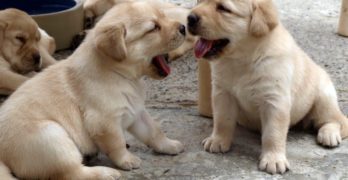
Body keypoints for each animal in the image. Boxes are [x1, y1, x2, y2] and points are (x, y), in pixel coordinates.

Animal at [0, 1, 186, 180]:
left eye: (163, 16)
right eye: (153, 28)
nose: (184, 28)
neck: (120, 75)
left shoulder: (136, 110)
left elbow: (154, 131)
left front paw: (169, 144)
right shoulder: (104, 121)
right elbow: (117, 143)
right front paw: (127, 160)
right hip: (52, 137)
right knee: (71, 173)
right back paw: (105, 173)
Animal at [188, 0, 348, 175]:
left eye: (223, 8)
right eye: (201, 2)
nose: (189, 18)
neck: (242, 60)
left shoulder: (274, 101)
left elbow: (273, 133)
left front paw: (274, 159)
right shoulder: (223, 93)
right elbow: (223, 120)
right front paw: (218, 140)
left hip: (323, 95)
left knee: (334, 120)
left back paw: (329, 135)